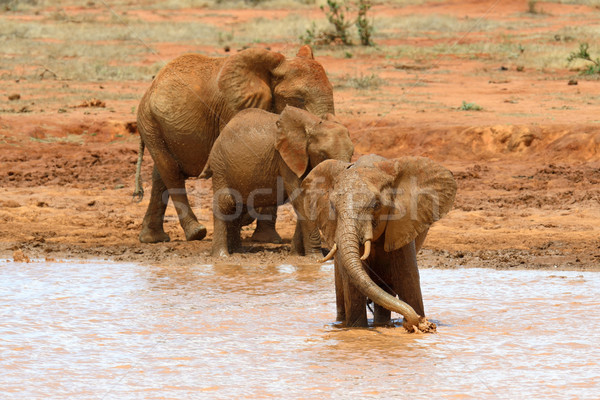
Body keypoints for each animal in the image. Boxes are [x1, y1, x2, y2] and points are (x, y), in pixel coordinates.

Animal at [132, 44, 336, 244]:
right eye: (299, 99)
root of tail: (153, 85)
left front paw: (267, 239)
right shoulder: (232, 107)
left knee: (160, 175)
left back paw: (153, 238)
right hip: (148, 120)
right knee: (170, 171)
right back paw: (196, 233)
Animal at [210, 105, 354, 256]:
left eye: (352, 154)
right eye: (323, 155)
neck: (314, 124)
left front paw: (296, 254)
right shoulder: (284, 159)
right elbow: (301, 198)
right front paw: (314, 257)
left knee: (239, 206)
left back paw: (237, 251)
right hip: (219, 164)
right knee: (225, 202)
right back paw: (223, 256)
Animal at [302, 153, 458, 332]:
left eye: (376, 205)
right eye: (333, 207)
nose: (413, 322)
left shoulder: (402, 223)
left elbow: (408, 279)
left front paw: (420, 326)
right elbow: (353, 283)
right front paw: (357, 329)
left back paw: (383, 324)